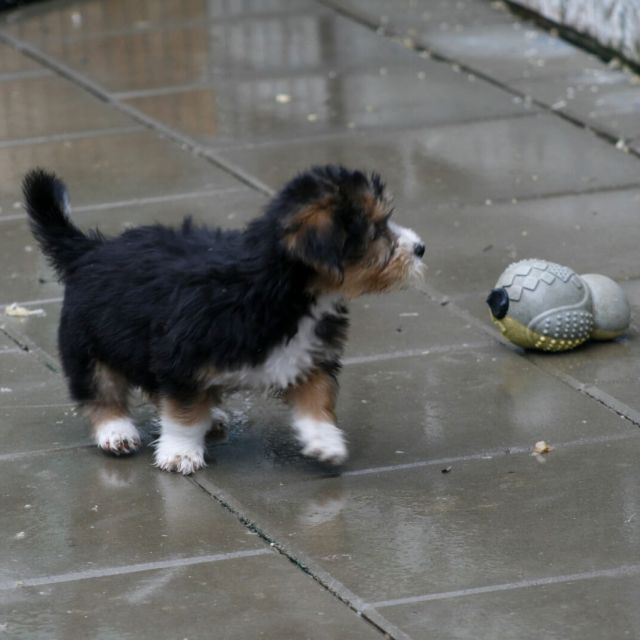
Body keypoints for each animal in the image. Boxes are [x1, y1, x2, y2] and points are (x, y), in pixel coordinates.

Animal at [25, 166, 424, 476]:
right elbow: (183, 411)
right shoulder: (181, 357)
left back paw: (210, 415)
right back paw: (116, 432)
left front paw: (325, 440)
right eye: (376, 231)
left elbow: (318, 397)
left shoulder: (308, 356)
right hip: (88, 344)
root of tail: (88, 250)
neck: (280, 288)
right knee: (101, 391)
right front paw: (180, 452)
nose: (421, 248)